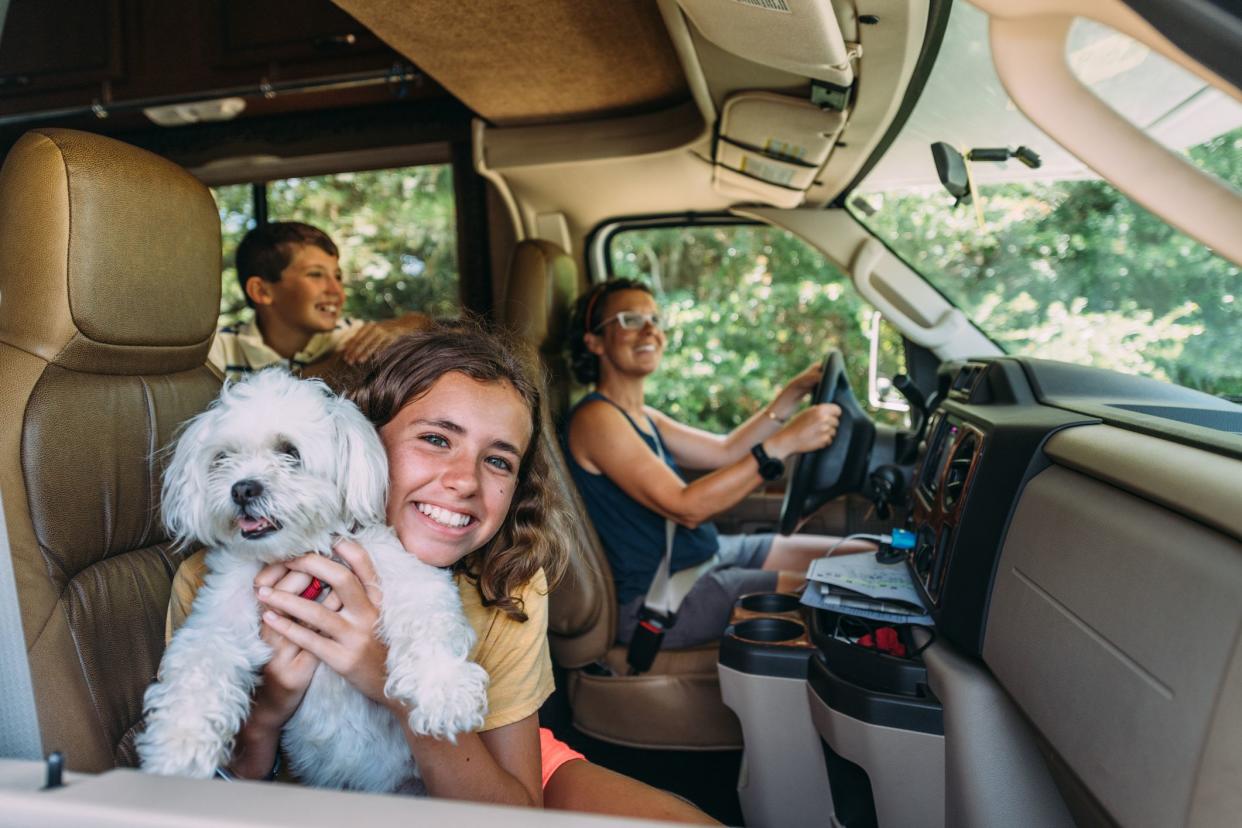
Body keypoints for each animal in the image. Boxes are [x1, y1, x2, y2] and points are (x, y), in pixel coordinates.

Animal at [135, 369, 484, 789]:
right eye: (224, 458)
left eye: (290, 452)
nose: (242, 488)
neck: (299, 556)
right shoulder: (218, 619)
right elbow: (199, 665)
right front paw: (178, 745)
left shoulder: (405, 572)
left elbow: (428, 618)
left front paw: (444, 690)